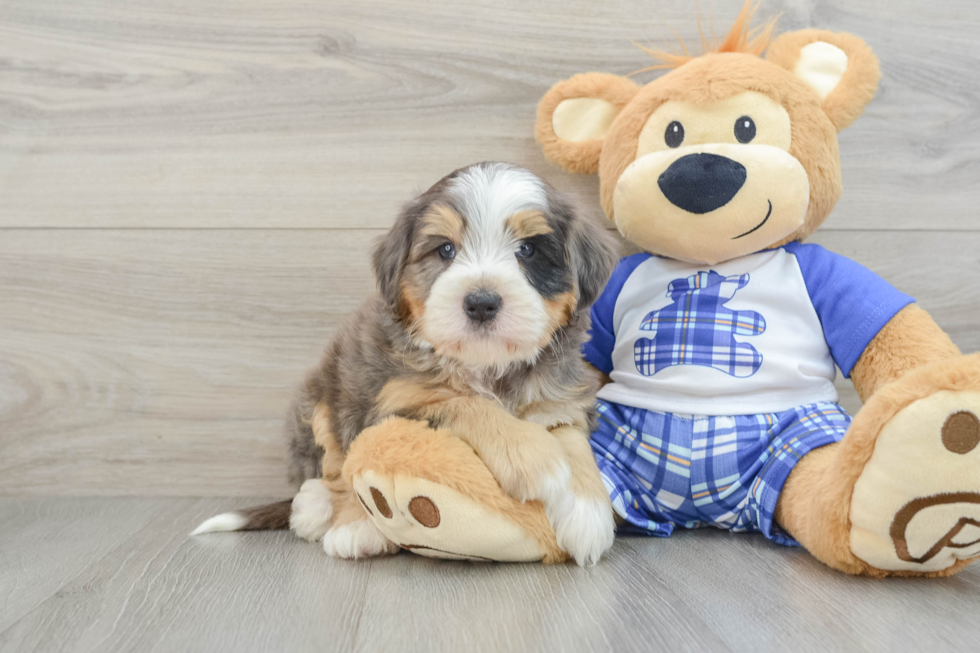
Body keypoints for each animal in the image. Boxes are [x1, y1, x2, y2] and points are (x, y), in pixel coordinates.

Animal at [195, 160, 616, 564]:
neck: (485, 366)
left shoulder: (560, 398)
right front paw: (532, 457)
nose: (481, 302)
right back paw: (335, 517)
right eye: (445, 250)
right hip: (323, 398)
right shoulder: (397, 401)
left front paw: (589, 512)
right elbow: (465, 404)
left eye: (527, 250)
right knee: (335, 466)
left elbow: (573, 438)